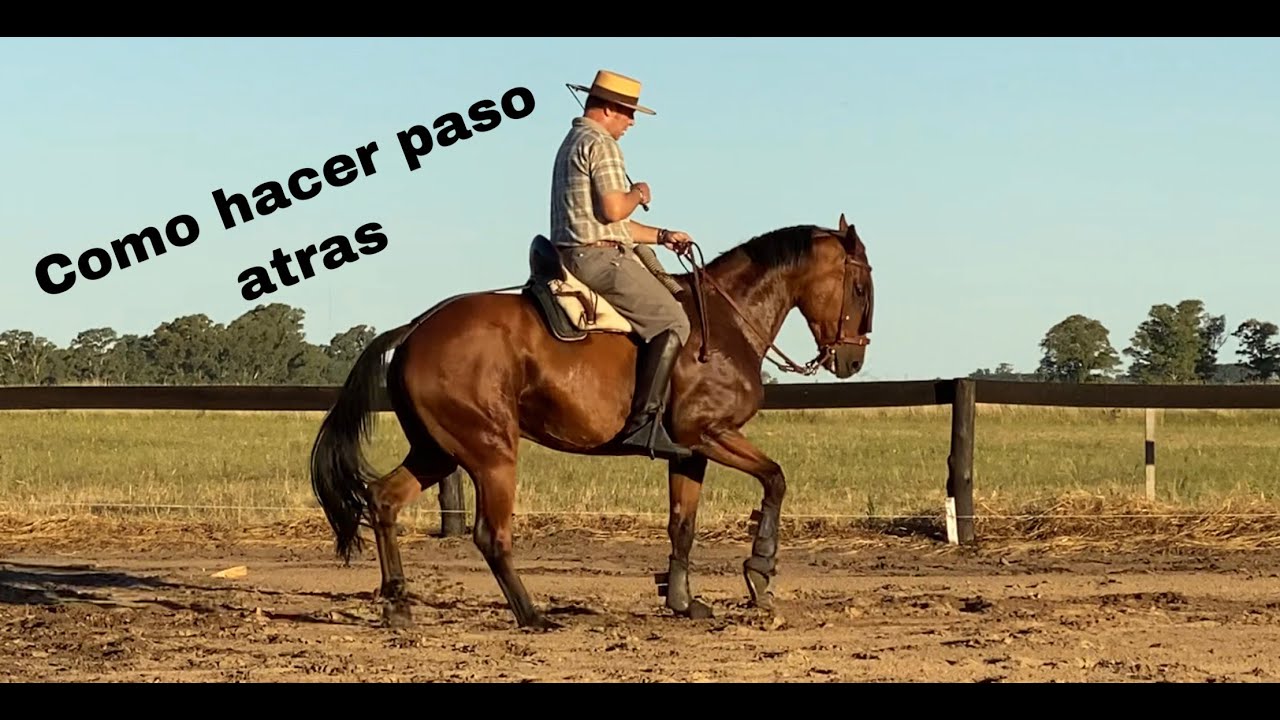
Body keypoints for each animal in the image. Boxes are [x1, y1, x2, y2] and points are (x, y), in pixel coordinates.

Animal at [309, 212, 875, 630]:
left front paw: (683, 601)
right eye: (860, 288)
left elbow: (683, 525)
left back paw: (398, 605)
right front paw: (759, 571)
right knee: (491, 535)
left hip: (438, 450)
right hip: (490, 452)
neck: (726, 322)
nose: (852, 361)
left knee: (384, 501)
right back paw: (532, 616)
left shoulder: (689, 451)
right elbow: (775, 479)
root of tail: (417, 326)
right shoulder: (711, 434)